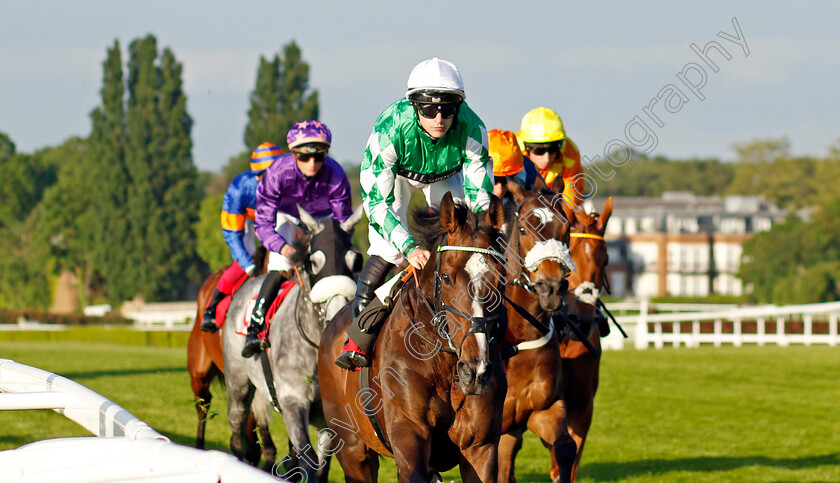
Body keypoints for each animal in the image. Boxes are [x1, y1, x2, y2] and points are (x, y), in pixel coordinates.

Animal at [223, 206, 364, 482]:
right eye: (314, 262)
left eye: (356, 261)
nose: (336, 317)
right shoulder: (292, 399)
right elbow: (308, 460)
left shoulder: (328, 413)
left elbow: (321, 465)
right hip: (238, 384)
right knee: (236, 429)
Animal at [318, 194, 508, 483]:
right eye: (445, 277)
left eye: (500, 279)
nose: (475, 371)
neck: (442, 366)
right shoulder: (409, 434)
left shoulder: (480, 447)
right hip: (353, 452)